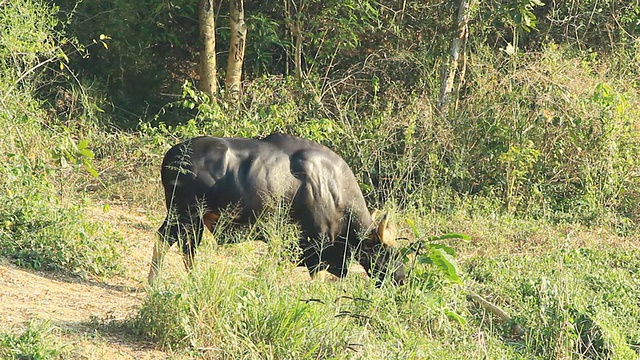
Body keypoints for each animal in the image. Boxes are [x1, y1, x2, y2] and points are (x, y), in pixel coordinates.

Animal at [149, 134, 404, 286]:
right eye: (387, 254)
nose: (401, 278)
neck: (332, 189)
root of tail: (173, 154)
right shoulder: (316, 247)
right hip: (184, 215)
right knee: (170, 241)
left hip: (191, 219)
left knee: (185, 247)